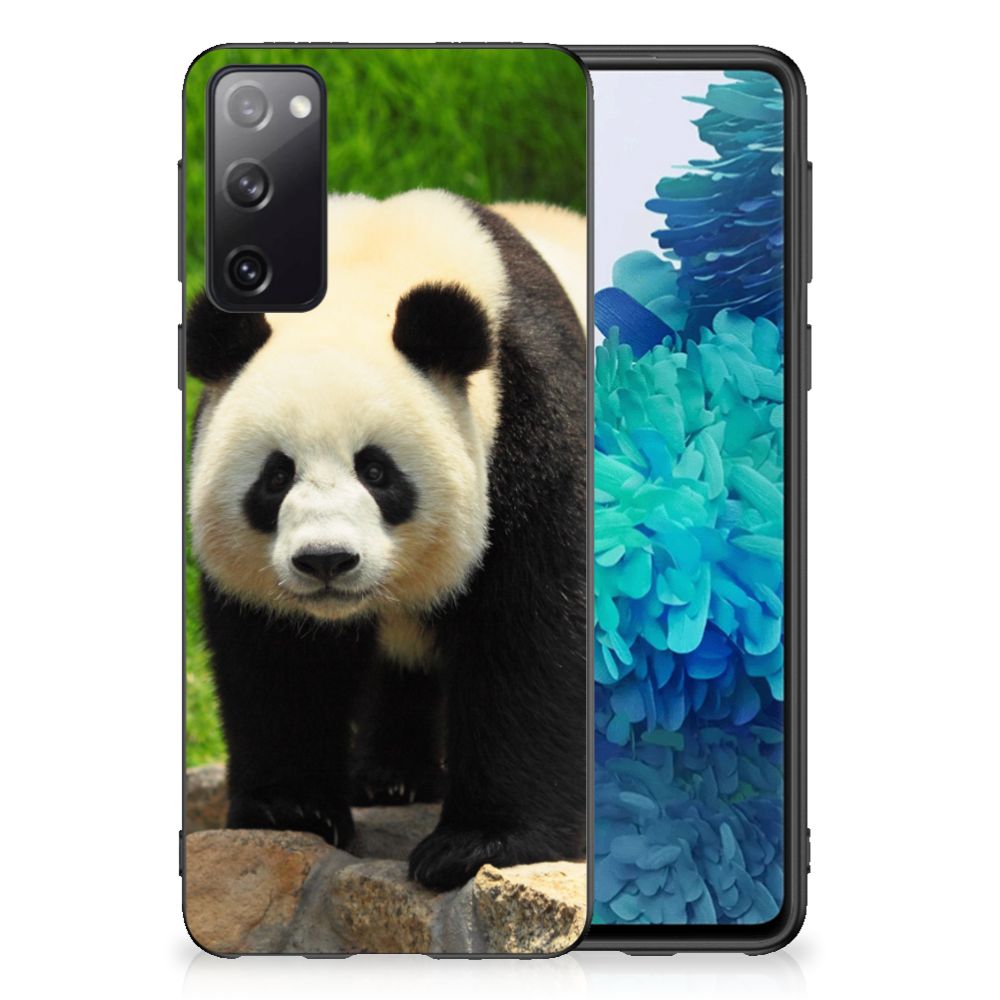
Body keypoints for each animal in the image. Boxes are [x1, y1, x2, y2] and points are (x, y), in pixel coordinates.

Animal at [187, 190, 587, 891]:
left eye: (376, 471)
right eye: (275, 476)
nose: (326, 561)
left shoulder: (533, 420)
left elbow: (530, 632)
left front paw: (478, 844)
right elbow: (277, 656)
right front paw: (292, 810)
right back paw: (391, 779)